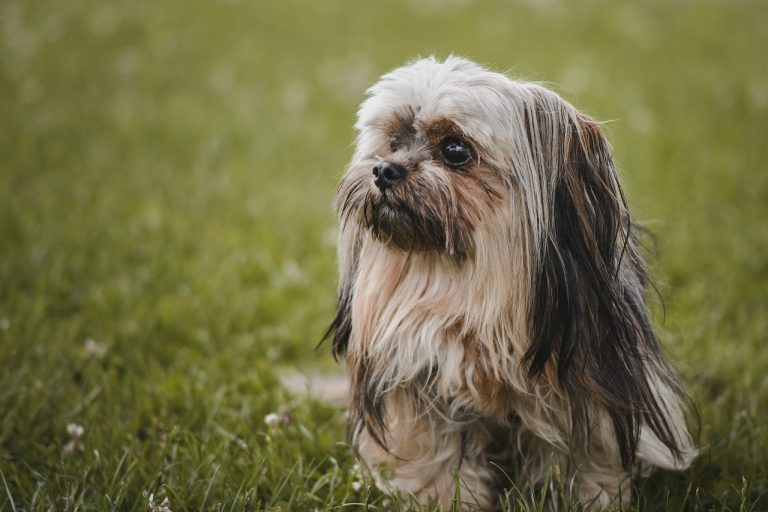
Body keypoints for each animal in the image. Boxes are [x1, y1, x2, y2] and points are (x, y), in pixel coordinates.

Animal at [324, 57, 696, 508]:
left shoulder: (585, 383)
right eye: (393, 140)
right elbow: (436, 455)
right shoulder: (419, 377)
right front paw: (444, 501)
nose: (383, 169)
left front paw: (582, 497)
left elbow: (582, 453)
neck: (469, 288)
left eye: (455, 150)